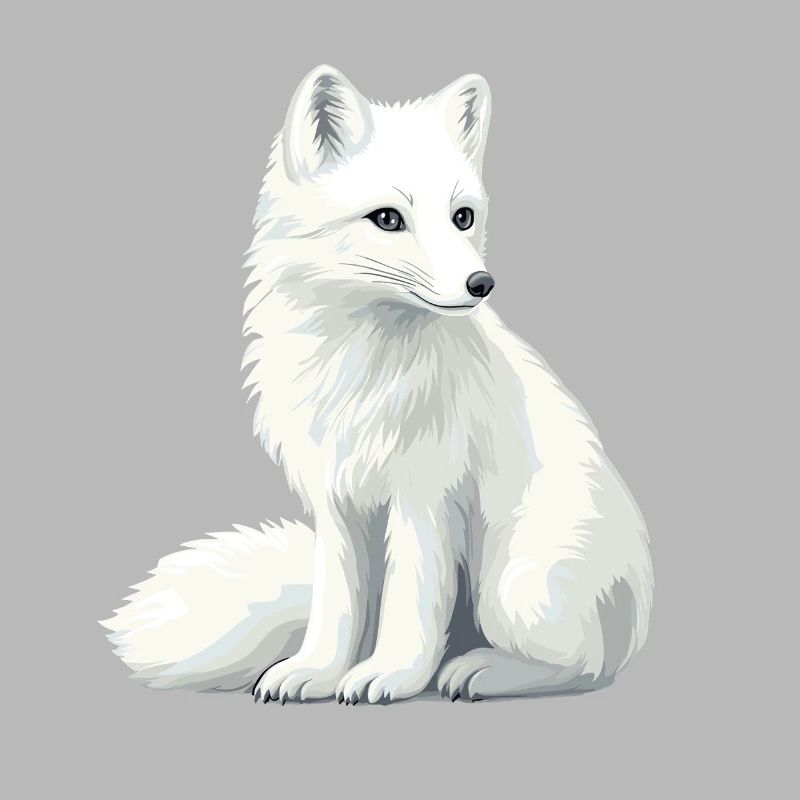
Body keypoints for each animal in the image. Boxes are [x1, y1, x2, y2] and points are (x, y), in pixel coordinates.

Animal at [102, 65, 653, 703]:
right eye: (388, 218)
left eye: (462, 216)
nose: (482, 283)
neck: (364, 363)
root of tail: (638, 613)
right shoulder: (336, 500)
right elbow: (338, 606)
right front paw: (317, 671)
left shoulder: (425, 497)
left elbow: (411, 603)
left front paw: (390, 674)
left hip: (514, 590)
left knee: (584, 664)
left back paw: (478, 670)